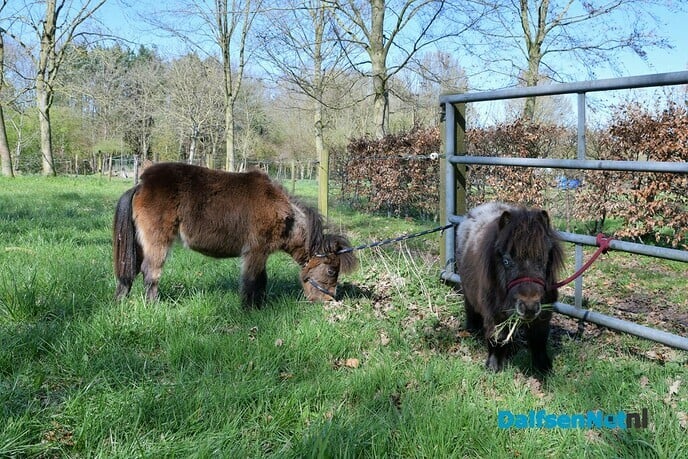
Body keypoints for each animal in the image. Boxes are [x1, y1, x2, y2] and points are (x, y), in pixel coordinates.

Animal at [113, 162, 357, 307]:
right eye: (331, 270)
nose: (328, 301)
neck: (283, 212)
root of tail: (142, 184)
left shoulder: (261, 253)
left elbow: (261, 280)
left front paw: (260, 305)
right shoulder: (256, 251)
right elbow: (252, 280)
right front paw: (249, 309)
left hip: (140, 243)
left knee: (132, 269)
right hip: (158, 241)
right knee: (150, 272)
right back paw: (153, 305)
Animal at [455, 202, 564, 373]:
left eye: (544, 260)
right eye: (506, 261)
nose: (529, 307)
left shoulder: (543, 314)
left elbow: (539, 340)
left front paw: (543, 368)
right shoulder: (494, 312)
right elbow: (497, 337)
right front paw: (493, 367)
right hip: (468, 291)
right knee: (470, 309)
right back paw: (472, 331)